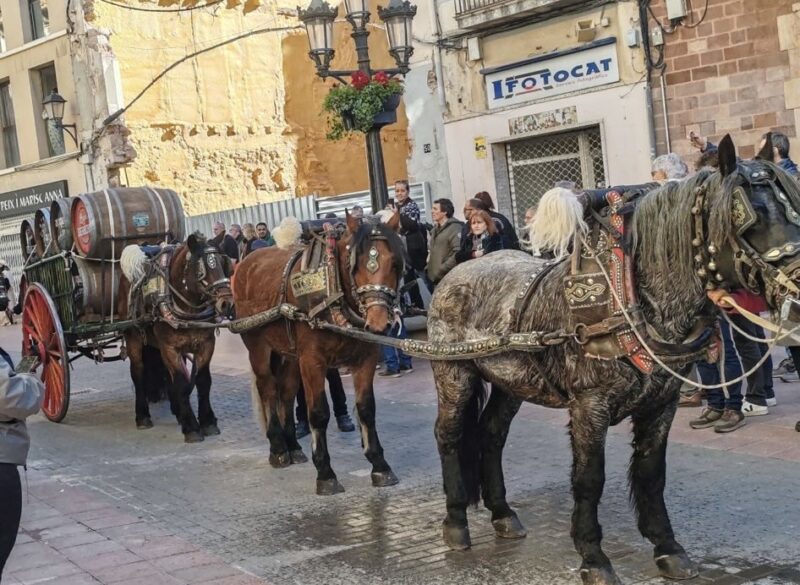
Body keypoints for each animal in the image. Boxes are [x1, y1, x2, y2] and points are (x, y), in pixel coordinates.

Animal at [118, 233, 234, 442]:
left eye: (223, 263)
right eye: (201, 268)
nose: (226, 303)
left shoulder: (205, 344)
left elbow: (202, 381)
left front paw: (207, 421)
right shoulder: (170, 348)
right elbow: (181, 383)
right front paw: (192, 427)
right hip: (134, 339)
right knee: (138, 373)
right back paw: (142, 416)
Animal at [234, 210, 404, 492]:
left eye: (395, 263)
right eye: (355, 265)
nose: (379, 322)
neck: (331, 289)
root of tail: (245, 263)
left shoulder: (366, 358)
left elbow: (366, 408)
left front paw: (379, 465)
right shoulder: (312, 361)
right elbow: (318, 413)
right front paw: (325, 473)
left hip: (290, 356)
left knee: (286, 392)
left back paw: (293, 447)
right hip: (258, 347)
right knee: (268, 388)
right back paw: (278, 448)